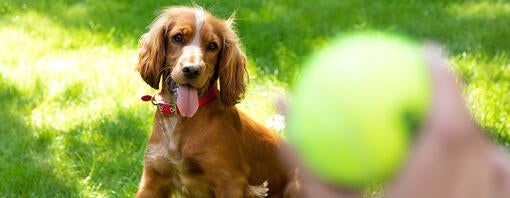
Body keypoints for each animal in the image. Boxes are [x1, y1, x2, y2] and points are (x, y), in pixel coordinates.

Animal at [135, 6, 296, 198]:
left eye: (213, 46)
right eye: (178, 37)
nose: (192, 70)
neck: (182, 120)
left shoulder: (230, 180)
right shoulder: (153, 179)